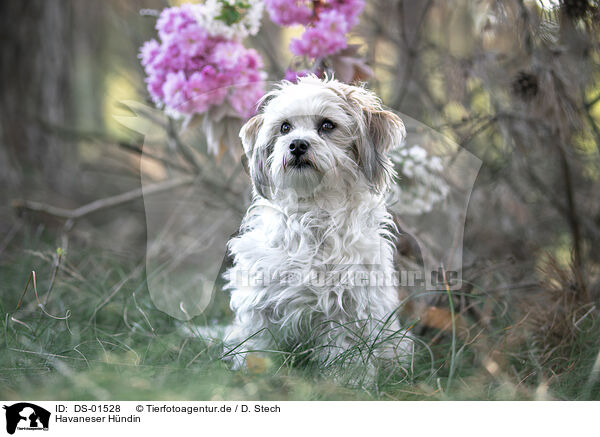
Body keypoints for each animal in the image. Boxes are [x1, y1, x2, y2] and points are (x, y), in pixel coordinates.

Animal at [223, 75, 414, 374]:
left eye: (327, 125)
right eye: (285, 127)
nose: (297, 144)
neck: (313, 212)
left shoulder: (347, 308)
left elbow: (346, 352)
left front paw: (346, 380)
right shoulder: (260, 300)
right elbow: (257, 341)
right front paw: (253, 373)